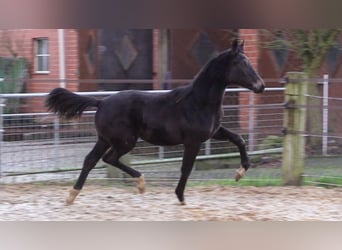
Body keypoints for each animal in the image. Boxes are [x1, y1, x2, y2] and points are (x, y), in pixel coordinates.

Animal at [46, 38, 264, 203]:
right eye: (241, 64)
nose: (260, 86)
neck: (198, 101)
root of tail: (102, 101)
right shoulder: (193, 141)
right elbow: (186, 168)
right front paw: (180, 197)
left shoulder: (214, 132)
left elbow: (239, 139)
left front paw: (240, 172)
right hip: (125, 141)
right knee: (109, 158)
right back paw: (140, 183)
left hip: (105, 139)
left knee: (91, 160)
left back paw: (72, 196)